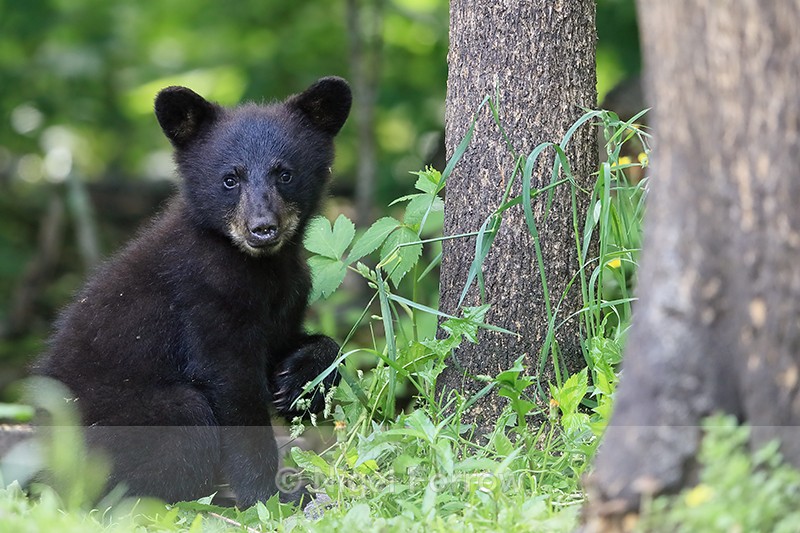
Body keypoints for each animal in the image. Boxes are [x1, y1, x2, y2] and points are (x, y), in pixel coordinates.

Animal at [31, 77, 351, 507]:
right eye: (230, 178)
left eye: (284, 174)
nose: (262, 228)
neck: (258, 264)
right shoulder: (203, 300)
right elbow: (233, 390)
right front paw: (270, 496)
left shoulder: (288, 295)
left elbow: (297, 343)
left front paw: (300, 380)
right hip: (135, 421)